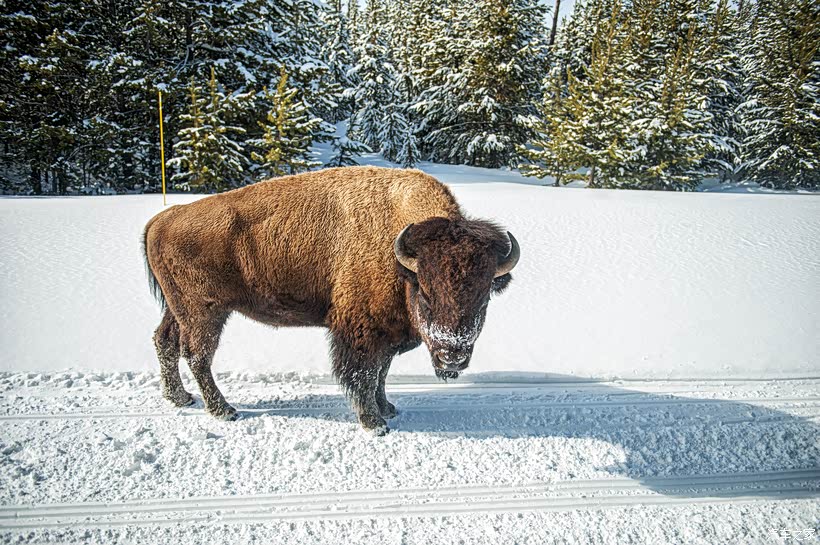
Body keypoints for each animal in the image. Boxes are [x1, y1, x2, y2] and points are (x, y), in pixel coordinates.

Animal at [143, 166, 519, 434]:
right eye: (425, 292)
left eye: (483, 297)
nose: (451, 355)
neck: (400, 260)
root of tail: (163, 218)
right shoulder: (360, 331)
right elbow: (362, 374)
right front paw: (374, 424)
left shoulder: (385, 332)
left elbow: (381, 373)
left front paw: (388, 409)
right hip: (205, 312)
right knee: (197, 355)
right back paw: (224, 410)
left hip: (178, 309)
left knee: (165, 341)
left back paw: (180, 398)